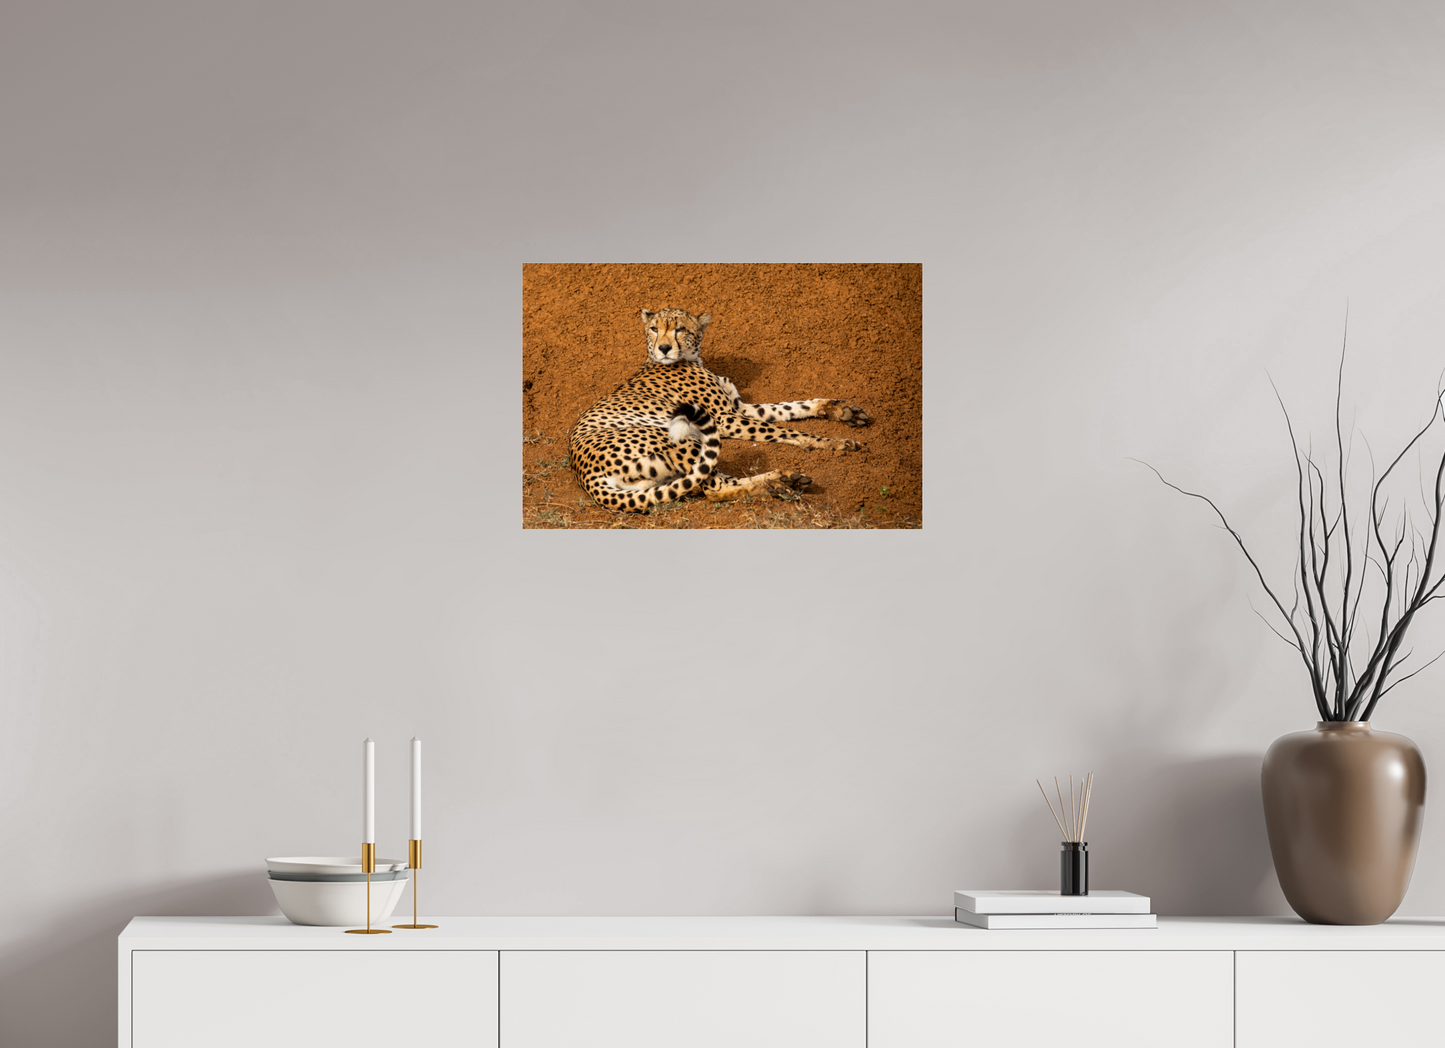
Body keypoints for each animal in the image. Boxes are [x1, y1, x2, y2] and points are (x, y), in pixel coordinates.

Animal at [568, 307, 872, 513]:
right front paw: (832, 442)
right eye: (654, 329)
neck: (691, 358)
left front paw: (840, 410)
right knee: (714, 487)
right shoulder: (724, 419)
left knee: (710, 482)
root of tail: (584, 475)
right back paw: (778, 482)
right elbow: (785, 430)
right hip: (677, 438)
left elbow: (789, 408)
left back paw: (782, 481)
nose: (664, 348)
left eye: (679, 329)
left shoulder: (740, 409)